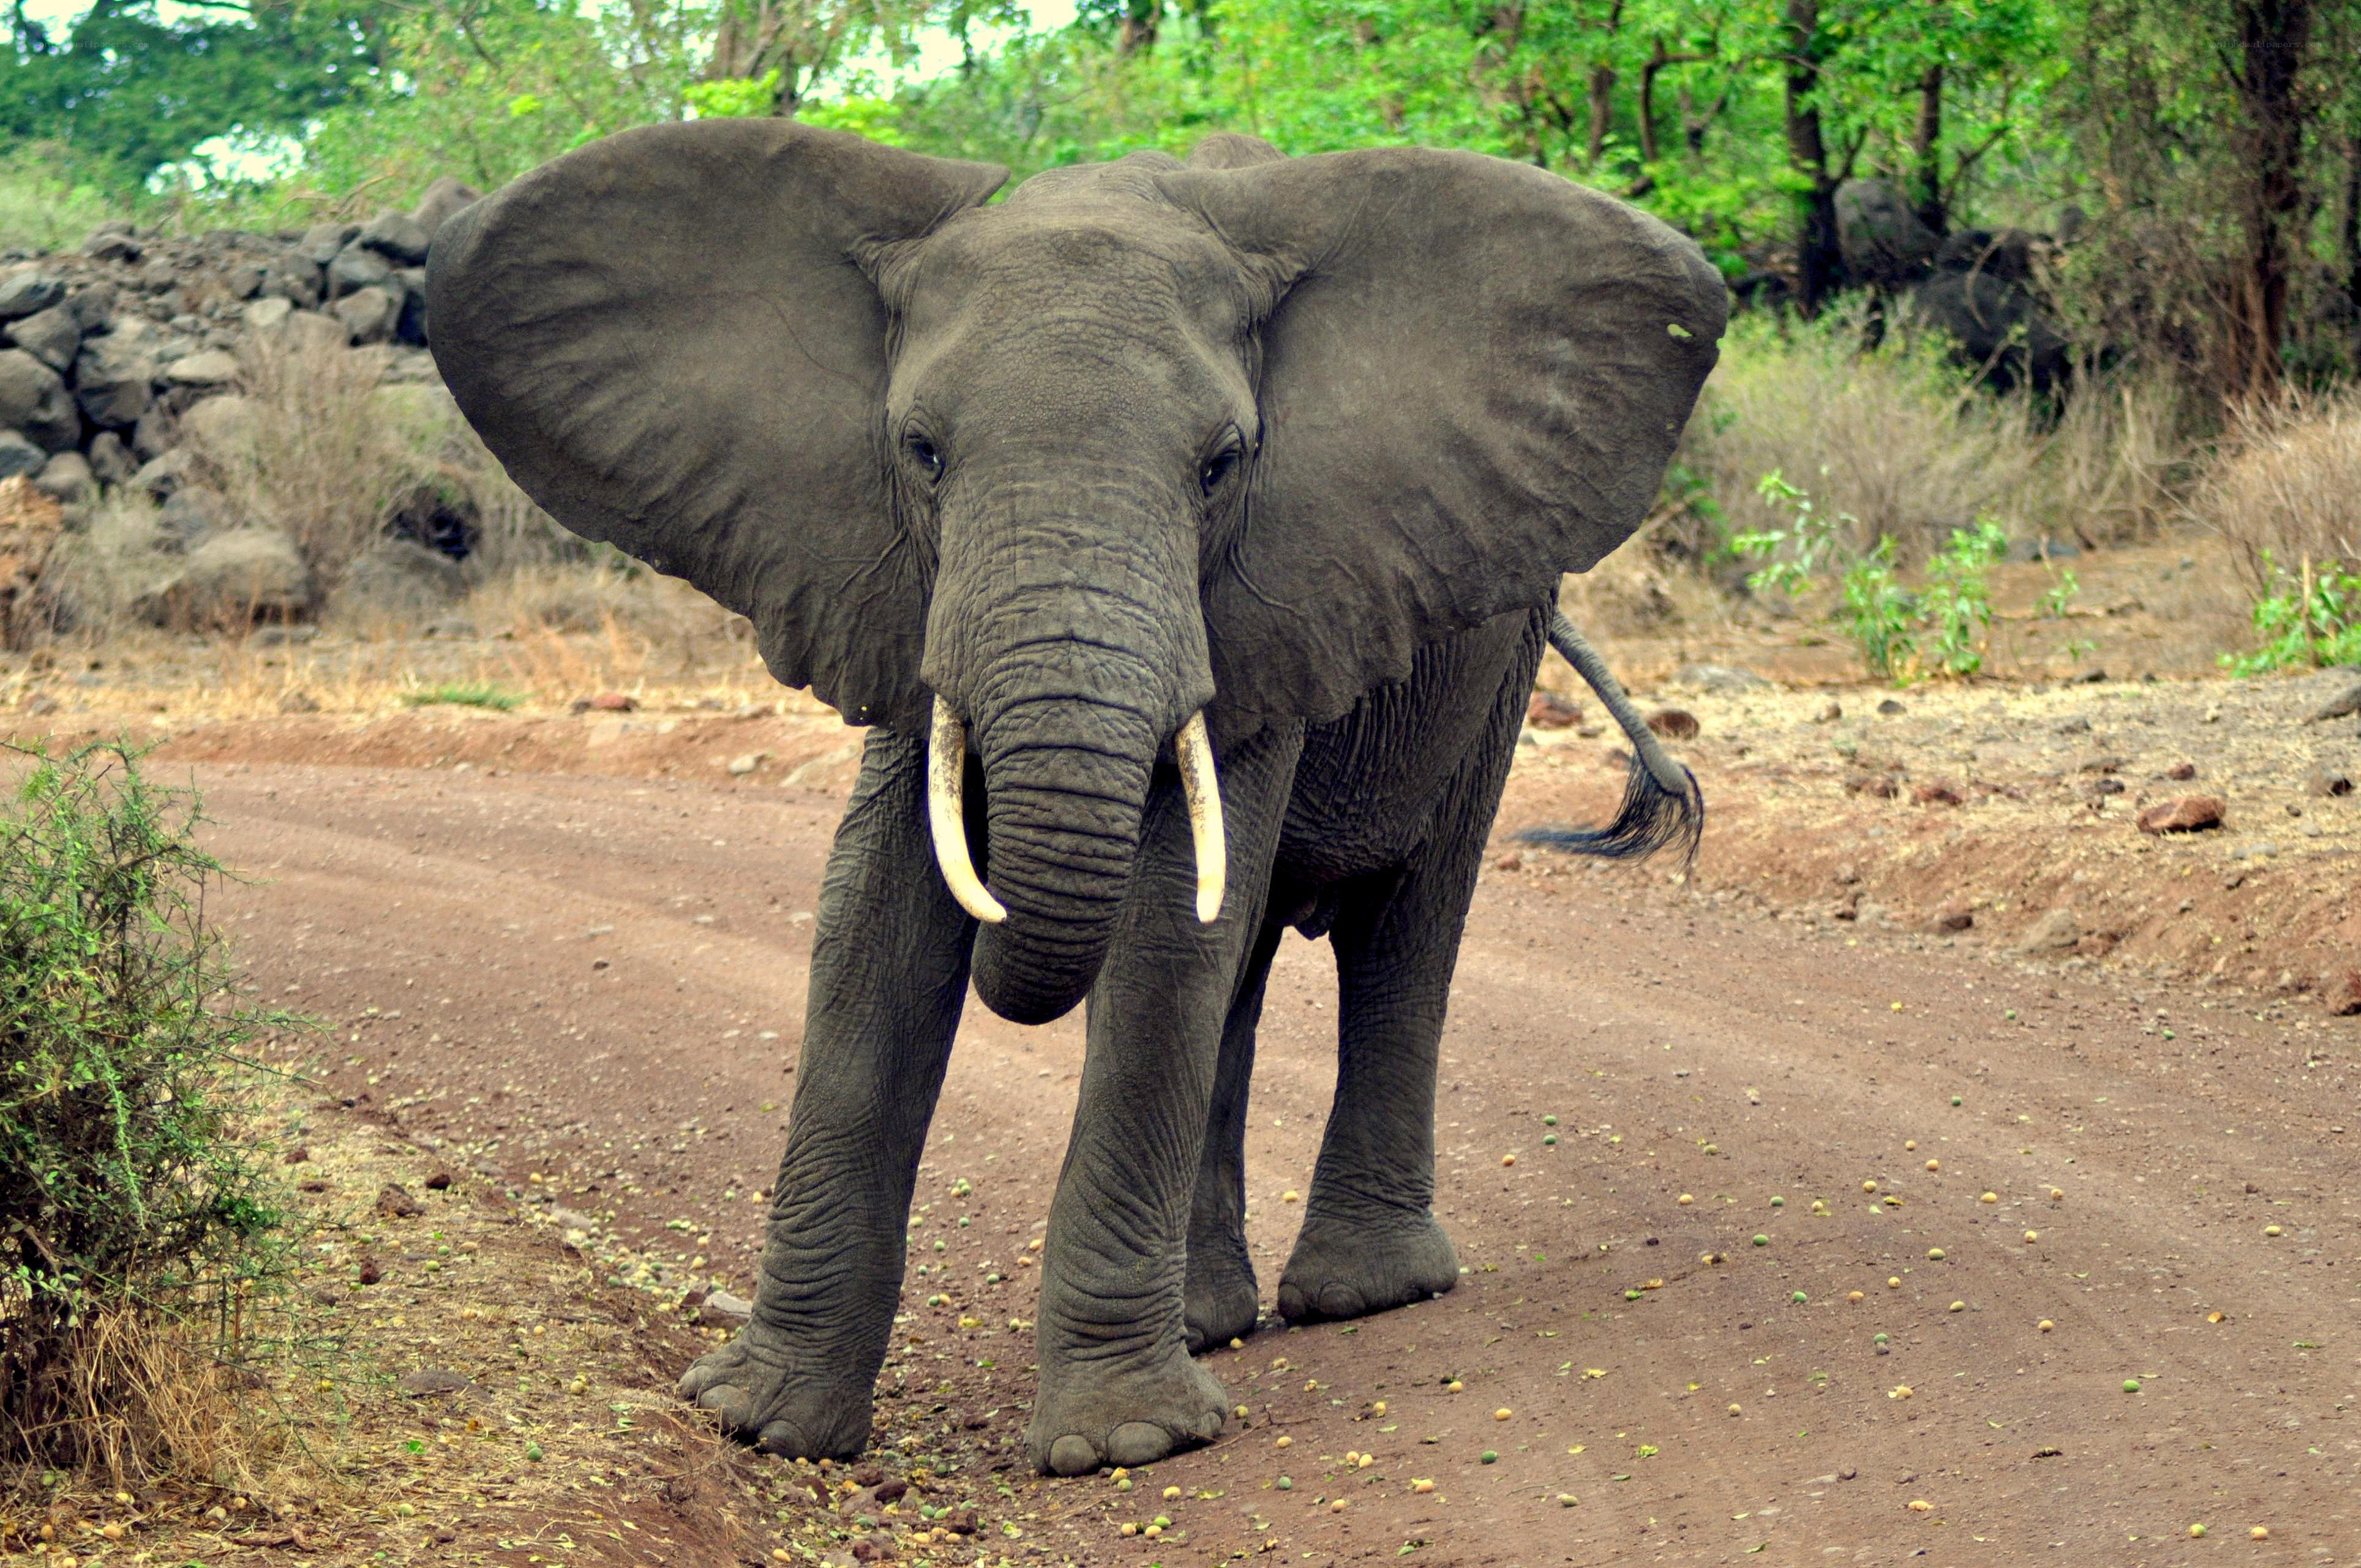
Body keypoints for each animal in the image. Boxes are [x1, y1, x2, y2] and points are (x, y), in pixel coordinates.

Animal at [426, 120, 1725, 1477]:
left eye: (1220, 467)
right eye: (921, 452)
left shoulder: (1260, 592)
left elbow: (1162, 927)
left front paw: (1122, 1447)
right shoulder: (895, 581)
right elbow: (874, 914)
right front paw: (762, 1423)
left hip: (1497, 646)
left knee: (1399, 921)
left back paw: (1362, 1293)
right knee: (1246, 967)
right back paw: (1211, 1318)